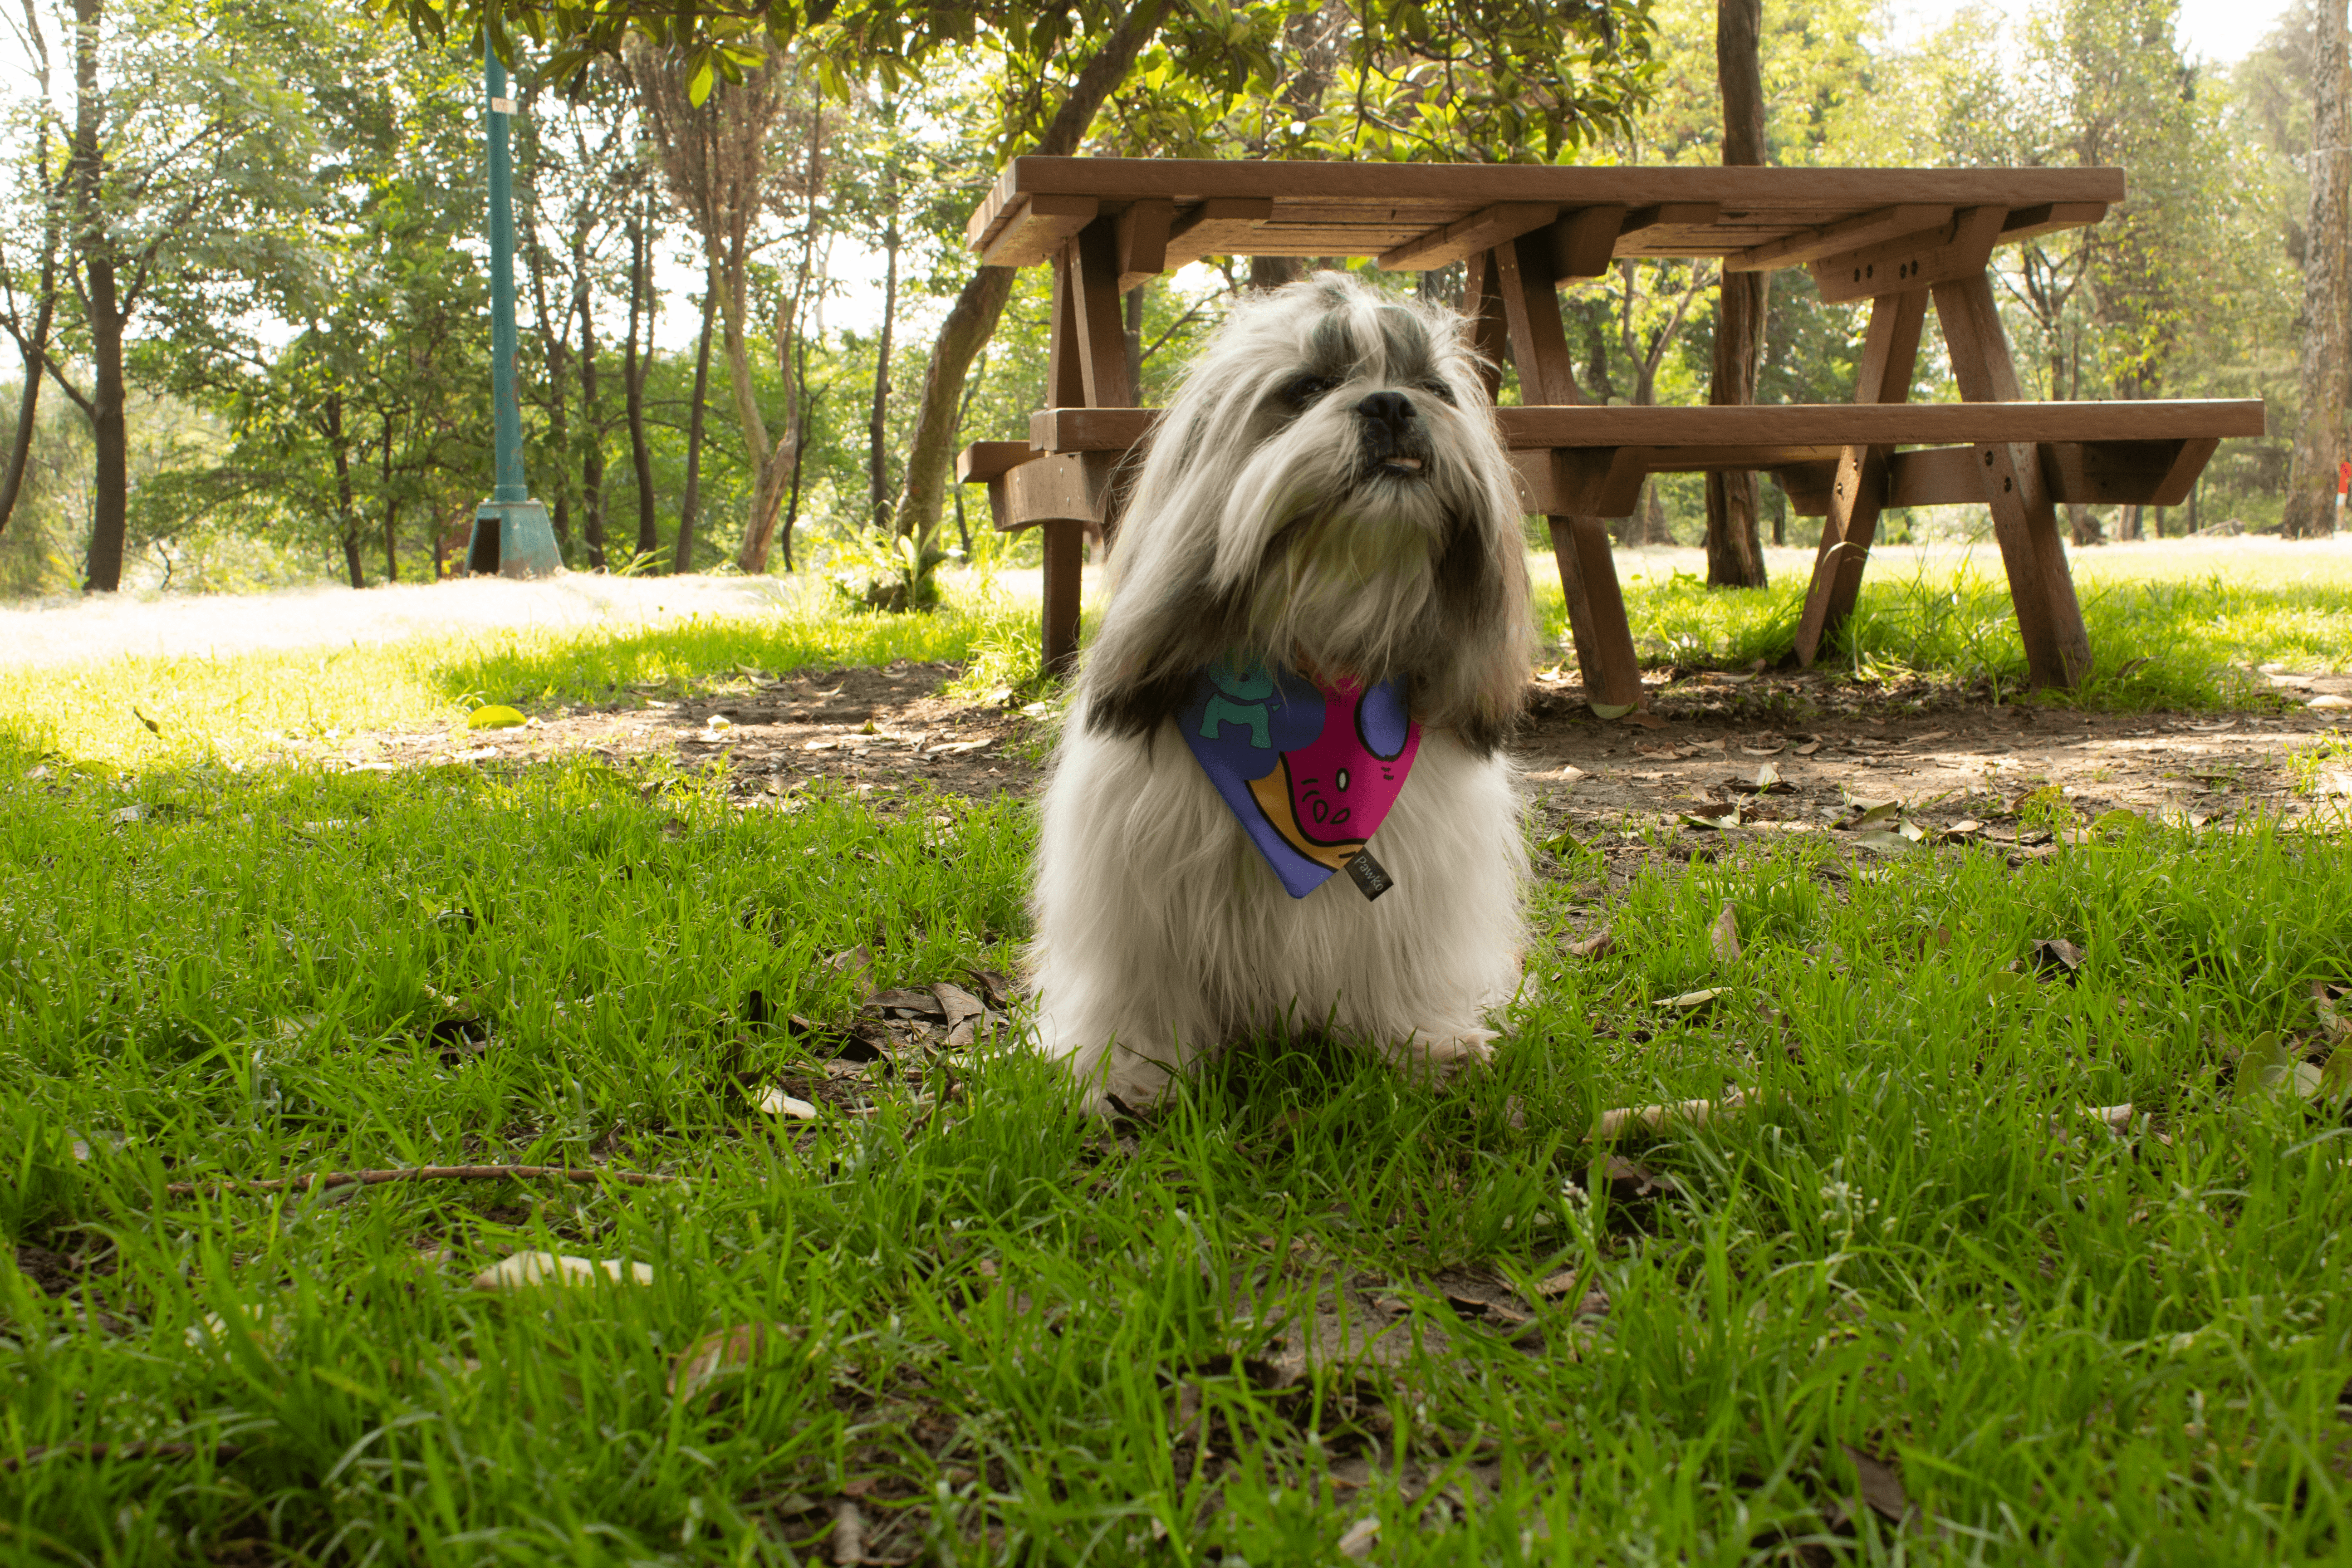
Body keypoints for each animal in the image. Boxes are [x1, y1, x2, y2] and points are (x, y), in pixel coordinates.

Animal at [1020, 270, 1533, 1109]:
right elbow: (1139, 982)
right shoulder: (1136, 877)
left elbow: (1400, 953)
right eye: (1305, 389)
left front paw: (1421, 1039)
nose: (1391, 405)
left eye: (1433, 389)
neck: (1321, 655)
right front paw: (1129, 1067)